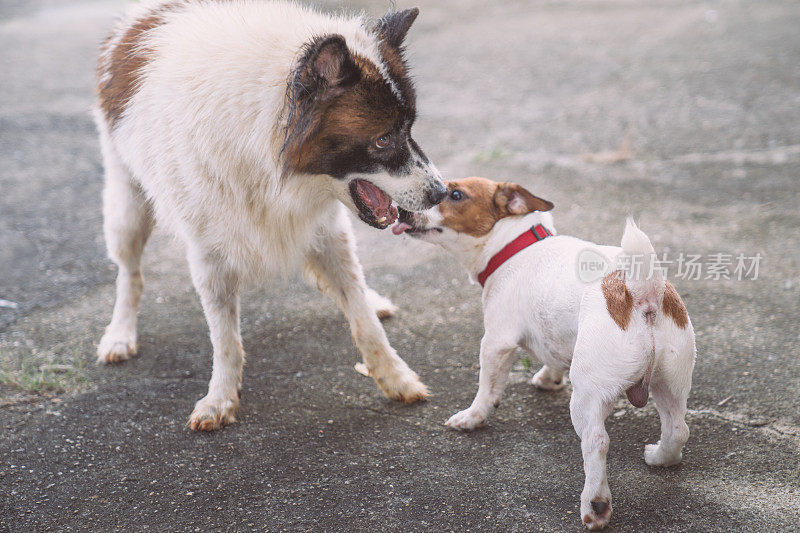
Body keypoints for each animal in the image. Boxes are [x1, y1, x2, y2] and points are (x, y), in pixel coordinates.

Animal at [94, 1, 446, 428]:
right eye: (382, 139)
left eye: (409, 128)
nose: (441, 193)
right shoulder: (209, 254)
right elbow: (225, 339)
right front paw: (220, 399)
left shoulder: (325, 229)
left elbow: (364, 319)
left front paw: (395, 377)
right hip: (127, 208)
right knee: (130, 274)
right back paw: (120, 335)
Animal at [396, 178, 696, 528]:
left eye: (455, 194)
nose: (400, 209)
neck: (516, 245)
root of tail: (641, 293)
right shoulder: (555, 336)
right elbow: (553, 356)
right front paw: (548, 378)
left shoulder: (495, 342)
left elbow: (486, 390)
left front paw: (472, 418)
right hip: (669, 382)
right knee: (677, 429)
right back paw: (660, 458)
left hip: (588, 395)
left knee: (597, 442)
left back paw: (595, 504)